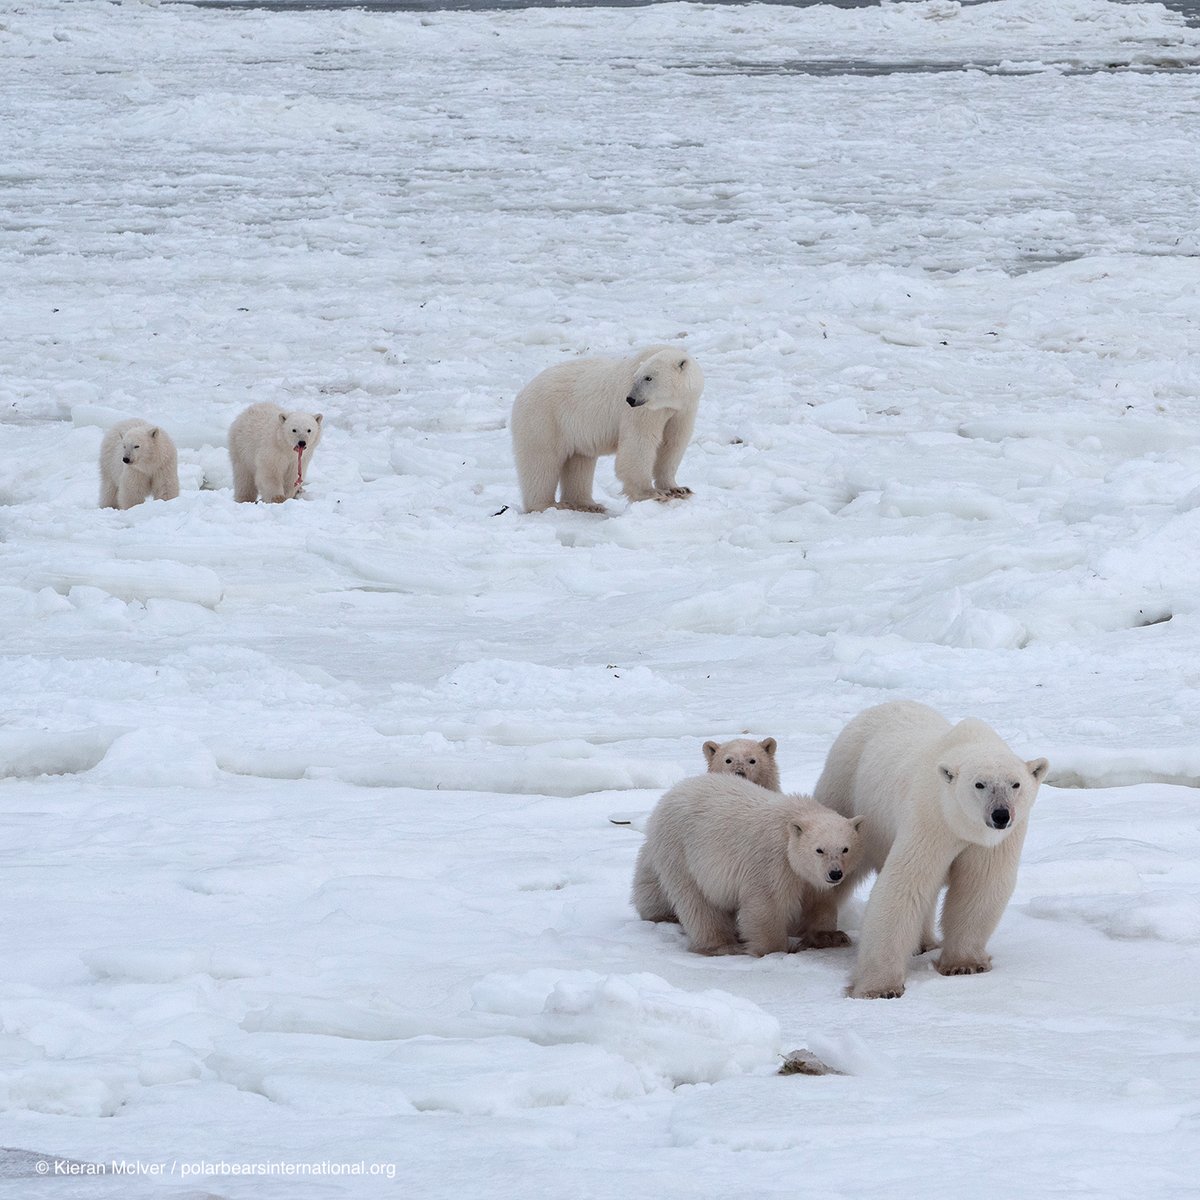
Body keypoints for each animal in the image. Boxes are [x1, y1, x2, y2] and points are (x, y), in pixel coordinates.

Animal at [510, 345, 703, 514]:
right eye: (636, 377)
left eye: (648, 378)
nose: (630, 399)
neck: (671, 403)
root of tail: (522, 393)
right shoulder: (643, 412)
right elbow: (640, 442)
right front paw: (652, 493)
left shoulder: (683, 409)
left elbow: (673, 443)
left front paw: (679, 489)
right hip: (544, 419)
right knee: (541, 461)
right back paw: (547, 505)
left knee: (579, 461)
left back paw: (587, 504)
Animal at [631, 774, 864, 956]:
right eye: (819, 850)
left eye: (845, 849)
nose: (835, 873)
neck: (795, 817)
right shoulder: (773, 860)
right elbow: (767, 905)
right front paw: (775, 949)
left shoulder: (810, 877)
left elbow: (819, 902)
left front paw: (831, 936)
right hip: (682, 852)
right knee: (698, 902)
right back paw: (722, 945)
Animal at [812, 700, 1049, 999]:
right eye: (979, 784)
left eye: (1015, 784)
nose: (1001, 815)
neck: (962, 825)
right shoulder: (931, 818)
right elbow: (907, 882)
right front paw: (879, 988)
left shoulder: (994, 842)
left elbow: (979, 887)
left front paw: (964, 965)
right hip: (846, 791)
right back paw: (824, 934)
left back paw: (924, 943)